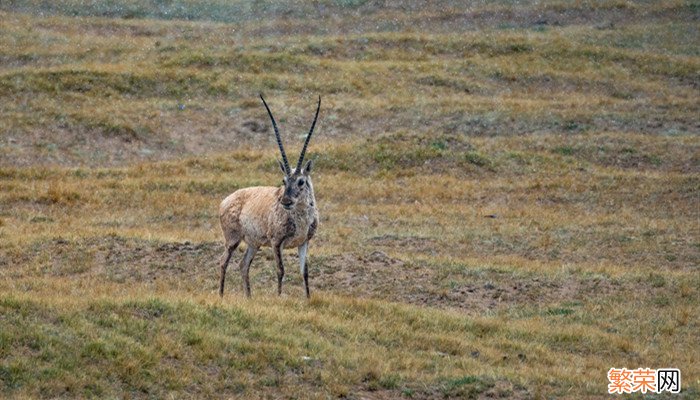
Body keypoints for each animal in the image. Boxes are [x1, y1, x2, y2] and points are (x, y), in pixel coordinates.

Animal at [217, 95, 322, 298]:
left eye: (301, 181)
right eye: (284, 180)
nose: (286, 201)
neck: (300, 218)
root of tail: (225, 201)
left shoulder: (304, 242)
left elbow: (304, 271)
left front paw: (307, 298)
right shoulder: (276, 242)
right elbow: (281, 270)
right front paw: (279, 297)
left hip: (254, 244)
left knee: (243, 265)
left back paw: (249, 298)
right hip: (232, 240)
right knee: (223, 262)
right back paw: (221, 295)